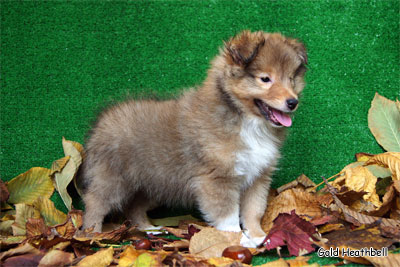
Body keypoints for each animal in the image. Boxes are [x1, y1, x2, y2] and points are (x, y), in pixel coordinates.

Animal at [80, 30, 306, 248]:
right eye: (265, 79)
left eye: (291, 79)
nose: (292, 102)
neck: (245, 120)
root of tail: (102, 120)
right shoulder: (217, 180)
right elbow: (228, 216)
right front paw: (239, 240)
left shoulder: (258, 176)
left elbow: (253, 211)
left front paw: (259, 236)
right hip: (114, 181)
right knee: (94, 202)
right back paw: (93, 235)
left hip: (152, 186)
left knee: (134, 208)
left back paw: (149, 229)